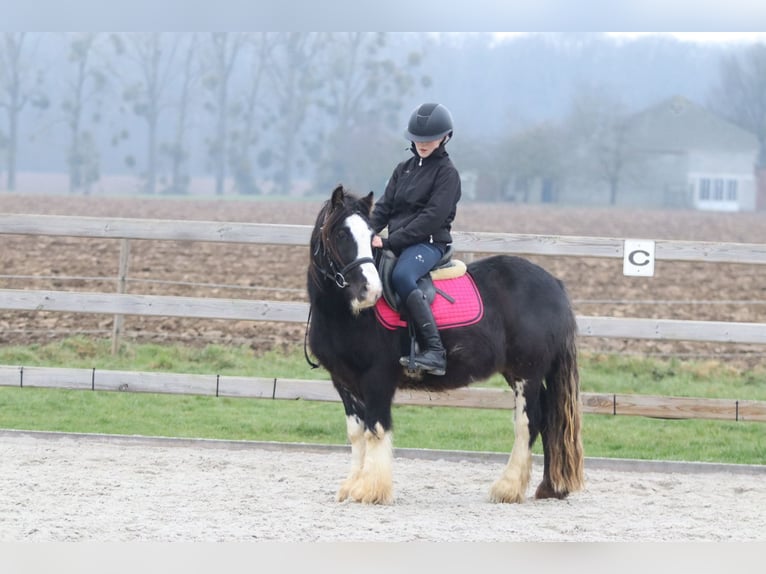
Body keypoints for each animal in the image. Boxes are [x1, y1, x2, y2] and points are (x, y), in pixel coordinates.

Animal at [307, 184, 584, 504]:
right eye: (341, 234)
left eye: (370, 235)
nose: (370, 291)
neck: (348, 315)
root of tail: (554, 284)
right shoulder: (344, 381)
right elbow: (356, 432)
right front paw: (352, 485)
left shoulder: (377, 378)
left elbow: (375, 429)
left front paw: (370, 489)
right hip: (523, 373)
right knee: (549, 420)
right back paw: (550, 487)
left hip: (527, 373)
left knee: (530, 423)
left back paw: (508, 487)